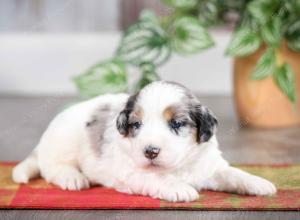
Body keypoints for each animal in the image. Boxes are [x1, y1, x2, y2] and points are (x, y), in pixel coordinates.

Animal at [12, 81, 276, 203]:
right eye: (136, 124)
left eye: (176, 123)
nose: (150, 151)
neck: (179, 167)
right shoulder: (133, 172)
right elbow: (157, 178)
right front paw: (179, 188)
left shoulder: (210, 166)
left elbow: (234, 174)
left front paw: (259, 183)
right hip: (63, 143)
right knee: (52, 168)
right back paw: (73, 177)